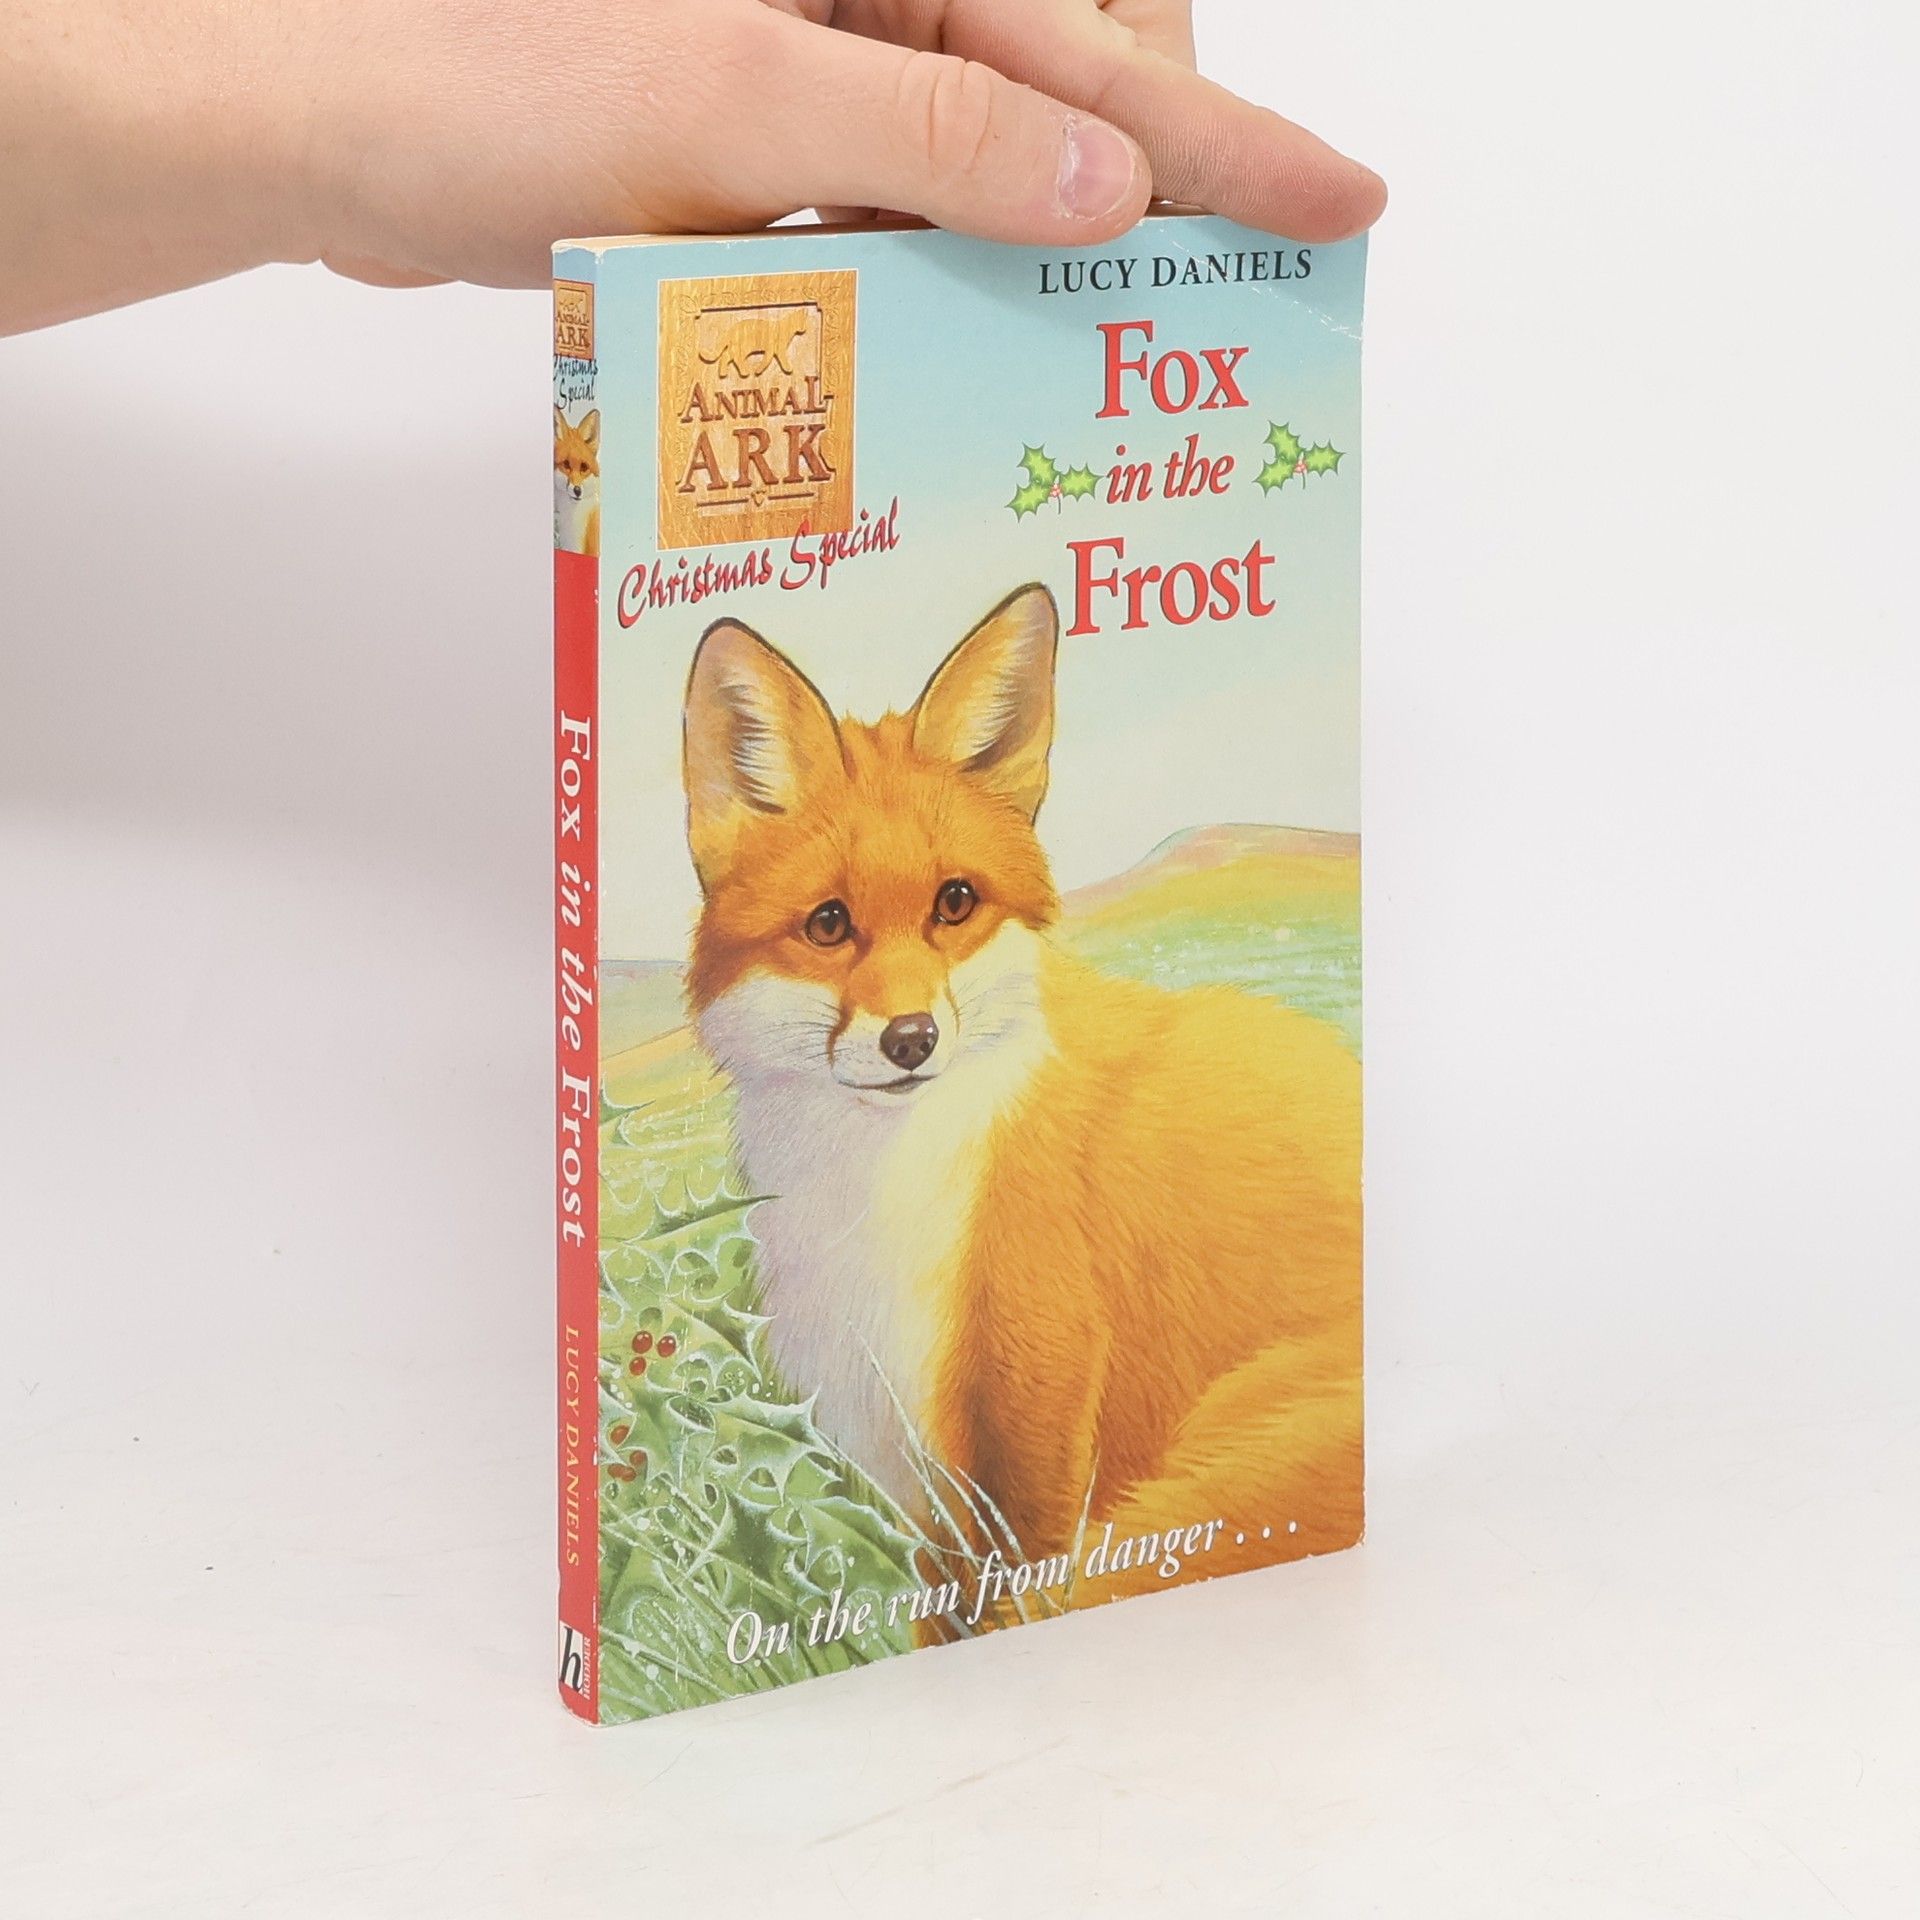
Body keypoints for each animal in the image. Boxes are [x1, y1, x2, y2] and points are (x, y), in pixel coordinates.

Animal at [682, 583, 1362, 1613]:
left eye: (954, 904)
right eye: (829, 925)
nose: (911, 1040)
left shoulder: (1032, 1443)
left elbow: (1007, 1596)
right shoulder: (919, 1488)